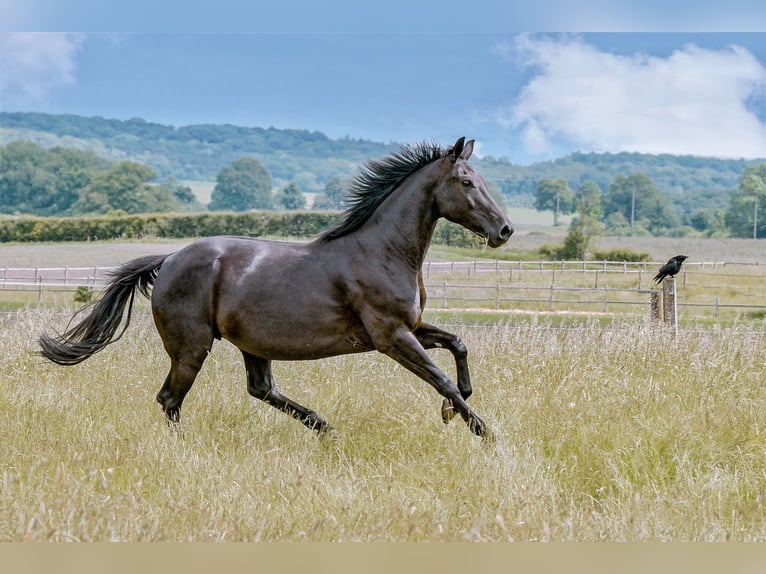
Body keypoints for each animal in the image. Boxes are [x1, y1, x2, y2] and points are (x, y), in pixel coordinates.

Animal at [37, 138, 516, 440]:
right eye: (467, 183)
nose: (505, 230)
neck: (381, 251)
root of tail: (169, 259)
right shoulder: (391, 336)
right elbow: (441, 379)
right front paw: (486, 433)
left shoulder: (410, 327)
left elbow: (458, 345)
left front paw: (454, 411)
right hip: (191, 347)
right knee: (170, 398)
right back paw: (187, 452)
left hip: (252, 342)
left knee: (260, 389)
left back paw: (326, 429)